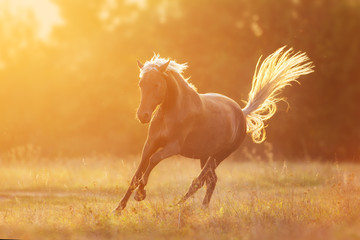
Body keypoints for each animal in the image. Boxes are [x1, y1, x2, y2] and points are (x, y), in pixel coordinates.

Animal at [114, 46, 314, 212]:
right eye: (141, 84)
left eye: (157, 85)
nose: (143, 116)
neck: (173, 110)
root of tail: (241, 113)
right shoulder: (150, 144)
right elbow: (137, 174)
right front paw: (119, 208)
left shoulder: (173, 147)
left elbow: (153, 161)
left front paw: (140, 194)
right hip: (205, 156)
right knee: (210, 181)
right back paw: (201, 207)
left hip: (217, 156)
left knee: (199, 181)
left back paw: (178, 205)